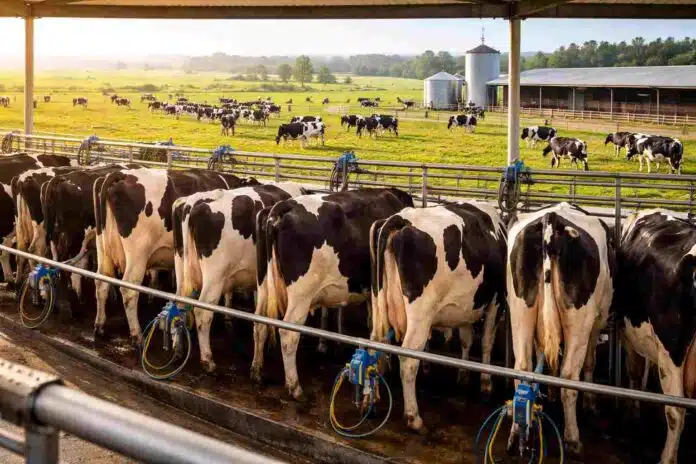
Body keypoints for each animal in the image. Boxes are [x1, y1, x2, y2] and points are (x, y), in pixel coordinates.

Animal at [92, 168, 258, 344]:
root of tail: (123, 175)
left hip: (102, 248)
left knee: (101, 282)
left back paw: (100, 326)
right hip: (137, 254)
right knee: (129, 290)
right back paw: (137, 335)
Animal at [173, 182, 307, 371]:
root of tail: (191, 204)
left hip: (181, 266)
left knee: (179, 302)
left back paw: (178, 348)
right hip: (214, 276)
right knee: (202, 311)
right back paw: (208, 360)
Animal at [250, 188, 414, 399]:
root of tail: (283, 207)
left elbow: (374, 324)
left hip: (263, 284)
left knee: (259, 323)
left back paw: (256, 371)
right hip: (301, 295)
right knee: (288, 334)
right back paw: (295, 388)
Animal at [370, 201, 507, 432]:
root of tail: (402, 218)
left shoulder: (467, 306)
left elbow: (466, 339)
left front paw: (463, 373)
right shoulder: (495, 301)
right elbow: (487, 341)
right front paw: (486, 383)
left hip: (379, 303)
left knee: (374, 343)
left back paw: (371, 399)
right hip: (420, 314)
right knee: (408, 359)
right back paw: (413, 417)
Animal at [507, 202, 614, 454]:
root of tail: (551, 219)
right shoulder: (598, 320)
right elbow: (589, 361)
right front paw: (590, 403)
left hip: (520, 310)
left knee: (522, 367)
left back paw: (516, 432)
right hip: (580, 319)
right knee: (569, 377)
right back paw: (572, 438)